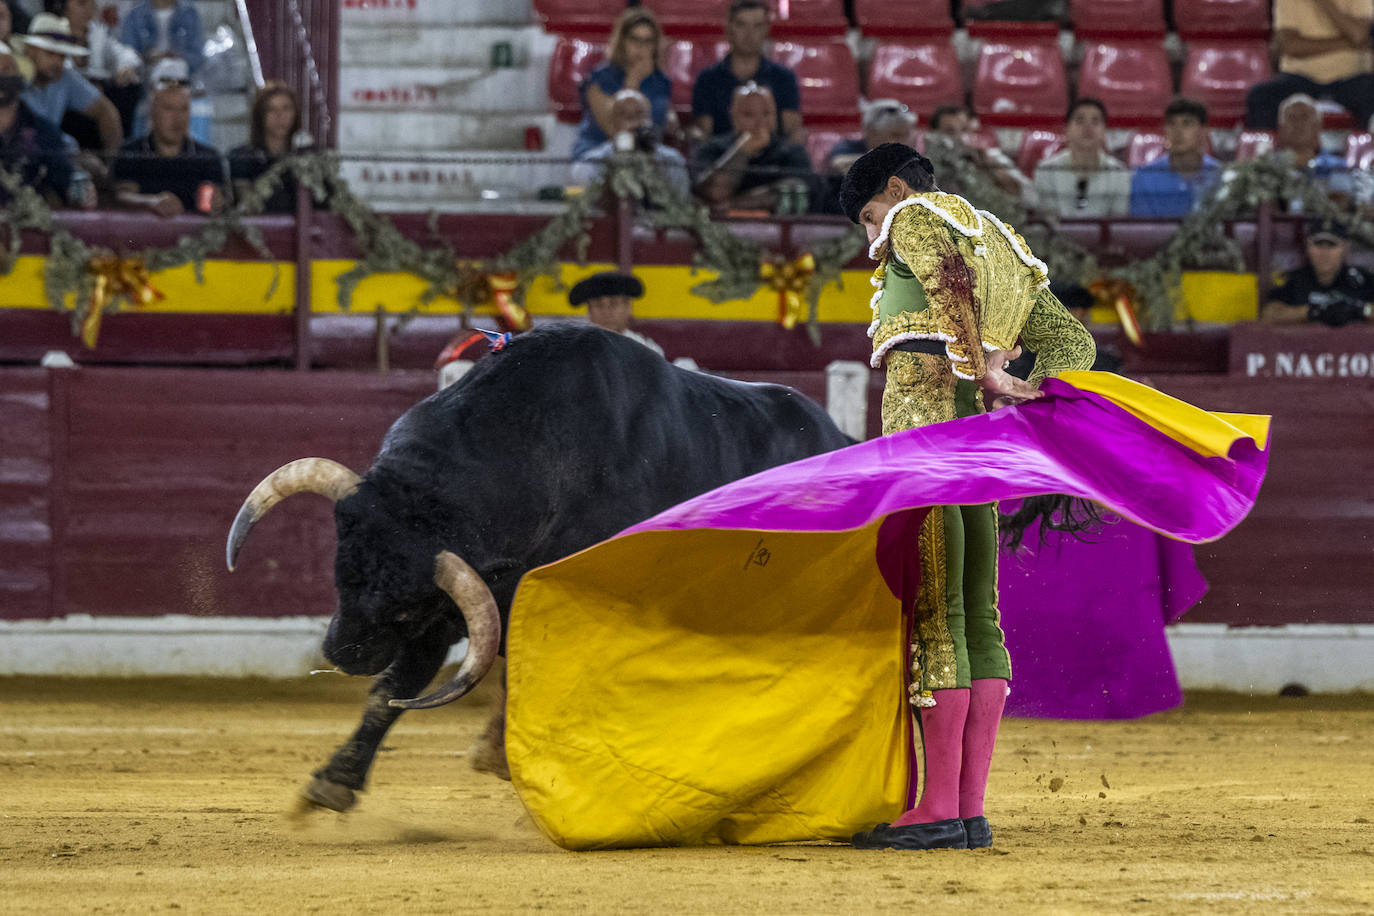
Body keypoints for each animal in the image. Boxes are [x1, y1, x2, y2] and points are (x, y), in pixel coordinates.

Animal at [225, 325, 851, 813]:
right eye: (341, 572)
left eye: (400, 606)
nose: (343, 654)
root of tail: (840, 436)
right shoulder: (455, 606)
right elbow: (394, 691)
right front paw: (335, 782)